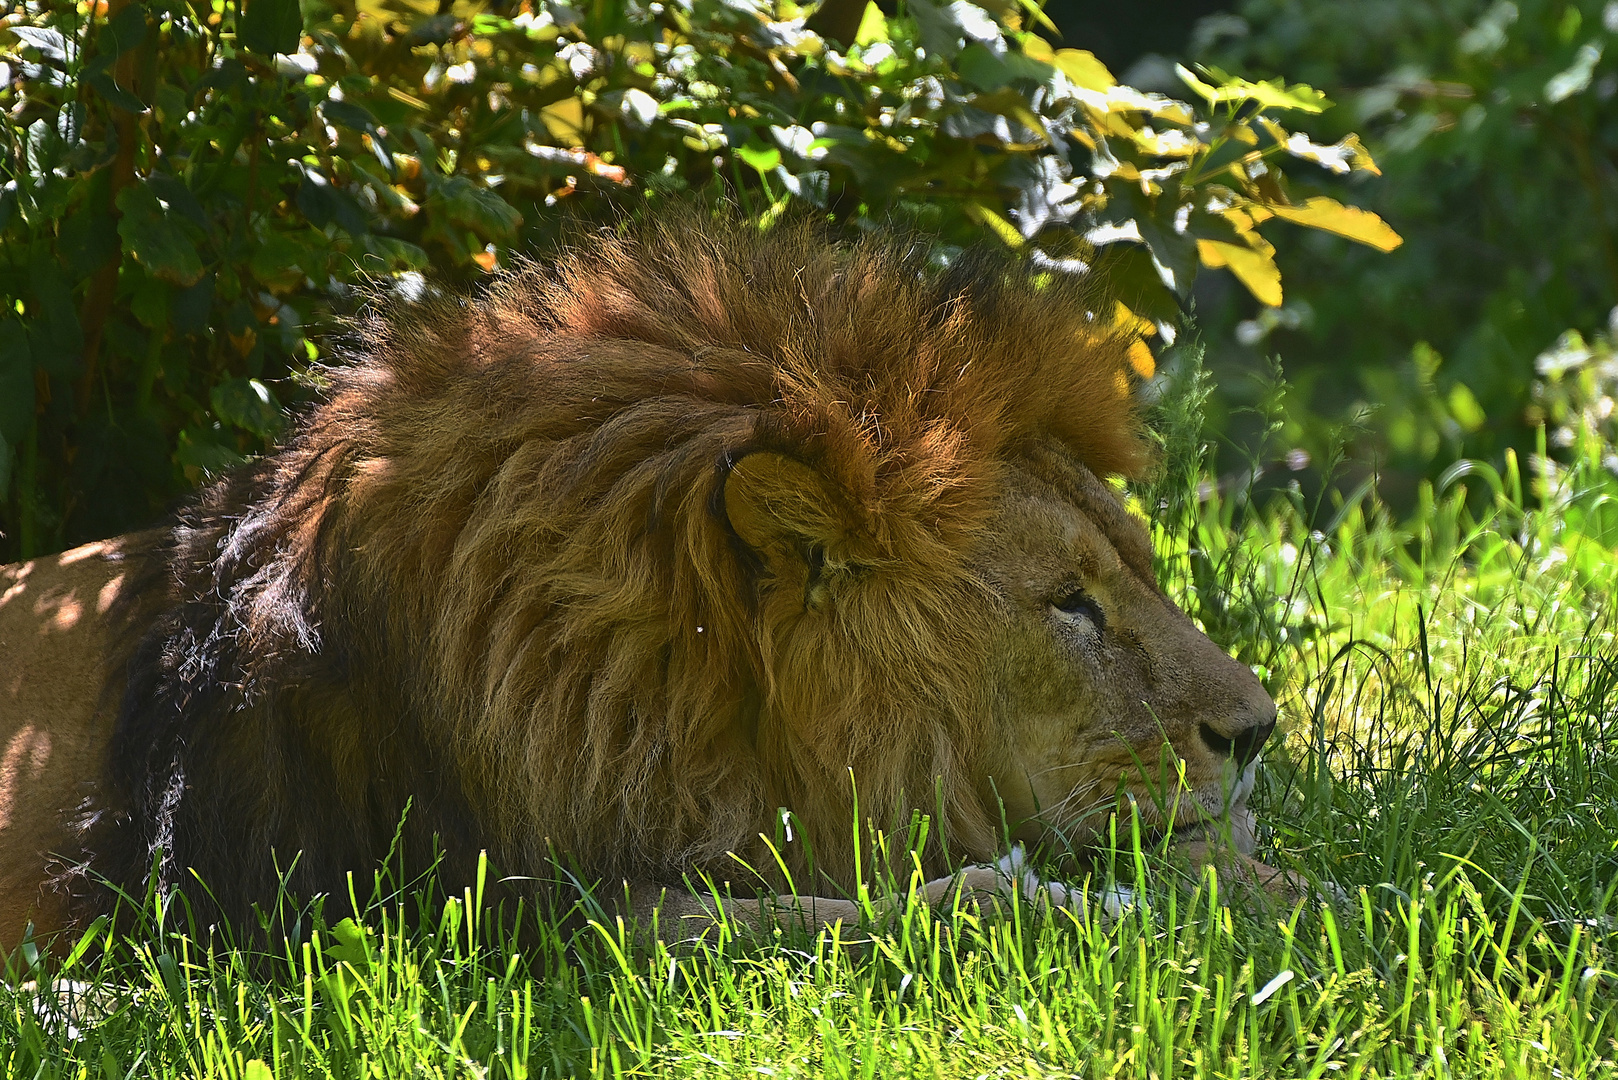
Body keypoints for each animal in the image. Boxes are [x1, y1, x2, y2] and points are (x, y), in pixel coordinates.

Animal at [0, 216, 1287, 945]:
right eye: (1068, 603)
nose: (1258, 734)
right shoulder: (491, 919)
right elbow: (832, 918)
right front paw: (1059, 903)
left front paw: (1263, 880)